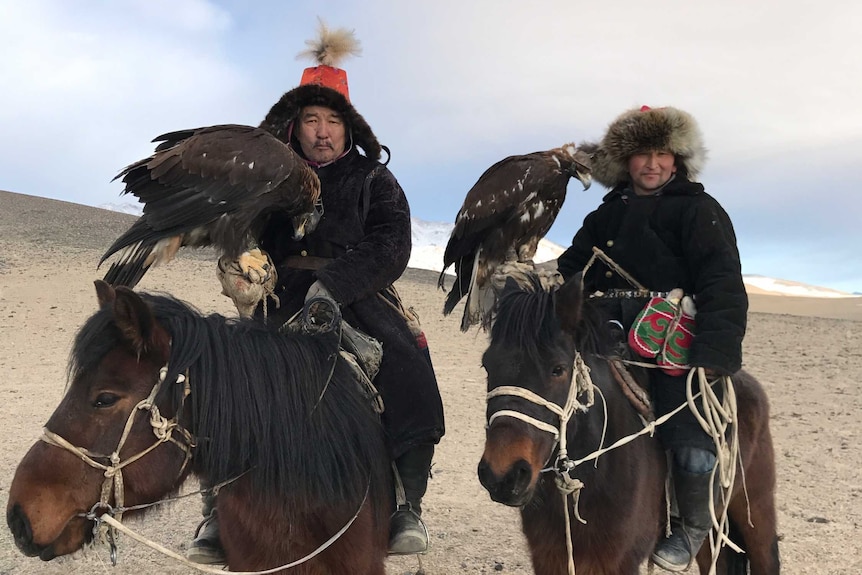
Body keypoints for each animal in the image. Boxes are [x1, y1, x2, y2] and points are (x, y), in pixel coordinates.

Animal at [480, 274, 784, 575]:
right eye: (487, 365)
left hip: (756, 511)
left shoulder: (619, 561)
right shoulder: (550, 557)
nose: (502, 476)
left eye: (558, 369)